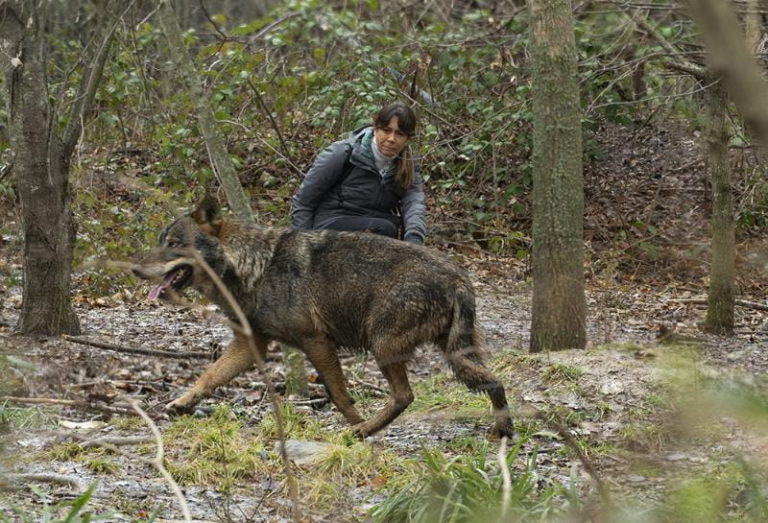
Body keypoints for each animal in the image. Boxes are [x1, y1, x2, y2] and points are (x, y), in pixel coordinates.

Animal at [133, 195, 516, 438]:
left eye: (174, 244)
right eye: (160, 240)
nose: (135, 270)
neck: (253, 267)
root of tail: (457, 276)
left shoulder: (316, 341)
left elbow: (340, 395)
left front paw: (355, 423)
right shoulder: (250, 344)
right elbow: (208, 376)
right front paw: (181, 403)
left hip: (384, 347)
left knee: (405, 396)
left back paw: (364, 430)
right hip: (453, 354)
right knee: (494, 381)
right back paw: (503, 430)